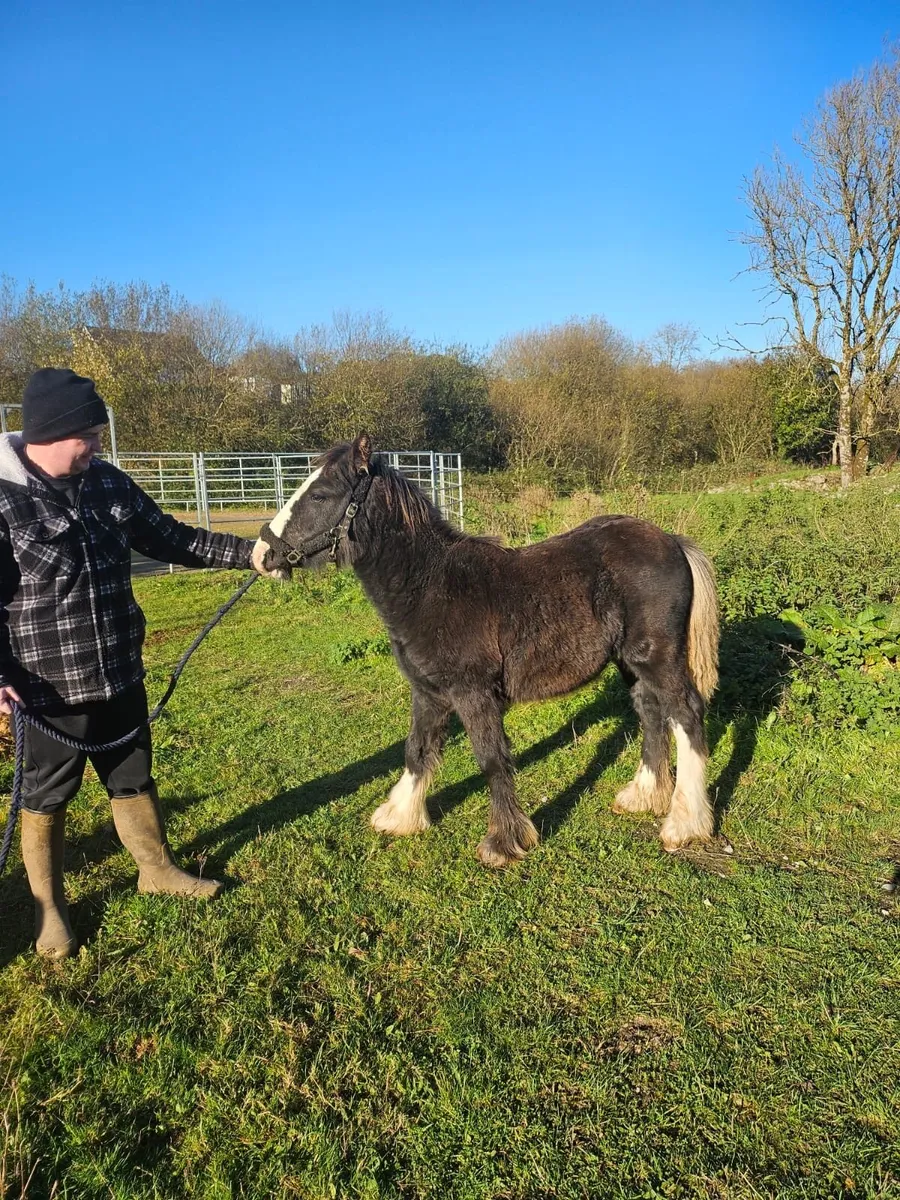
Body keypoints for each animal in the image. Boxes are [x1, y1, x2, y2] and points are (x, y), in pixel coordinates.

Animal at [252, 434, 719, 868]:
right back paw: (644, 796)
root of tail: (673, 541)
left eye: (320, 494)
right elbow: (416, 749)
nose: (261, 555)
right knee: (651, 711)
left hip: (658, 657)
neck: (428, 587)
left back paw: (685, 823)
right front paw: (400, 816)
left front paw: (504, 842)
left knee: (686, 714)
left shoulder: (473, 694)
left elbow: (492, 760)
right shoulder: (428, 693)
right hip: (632, 662)